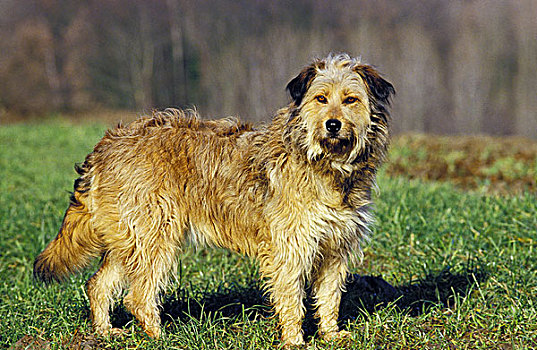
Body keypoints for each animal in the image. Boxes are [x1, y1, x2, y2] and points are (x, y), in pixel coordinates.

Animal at [33, 53, 394, 346]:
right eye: (320, 98)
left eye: (350, 100)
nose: (332, 125)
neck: (324, 162)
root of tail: (106, 144)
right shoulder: (290, 246)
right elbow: (292, 298)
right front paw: (294, 340)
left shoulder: (336, 246)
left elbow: (330, 296)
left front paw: (331, 334)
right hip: (155, 233)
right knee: (137, 296)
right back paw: (159, 337)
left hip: (130, 236)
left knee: (99, 284)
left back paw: (105, 332)